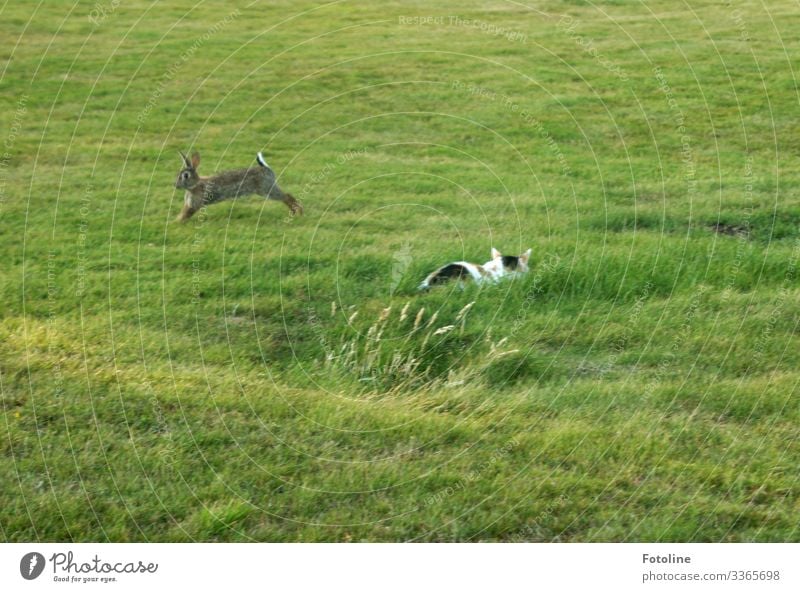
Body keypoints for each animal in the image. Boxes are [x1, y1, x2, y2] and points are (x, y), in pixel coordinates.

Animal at [173, 151, 302, 221]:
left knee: (286, 196)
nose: (175, 185)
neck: (195, 185)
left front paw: (177, 222)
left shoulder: (194, 205)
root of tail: (267, 169)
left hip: (267, 189)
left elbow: (186, 214)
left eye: (185, 176)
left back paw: (299, 213)